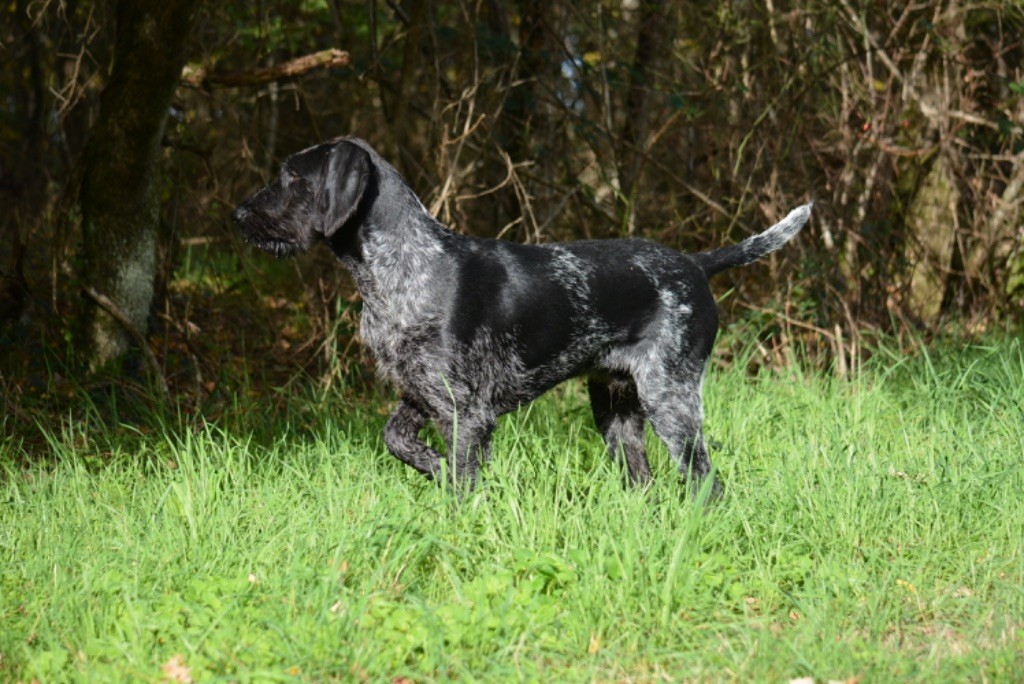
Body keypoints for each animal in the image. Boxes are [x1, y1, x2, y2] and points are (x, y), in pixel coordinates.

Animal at [230, 136, 806, 493]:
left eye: (292, 177)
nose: (236, 213)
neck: (402, 265)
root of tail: (694, 263)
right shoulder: (420, 393)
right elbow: (397, 441)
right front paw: (434, 468)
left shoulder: (466, 413)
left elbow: (462, 482)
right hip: (617, 410)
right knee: (643, 482)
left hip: (671, 400)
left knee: (707, 482)